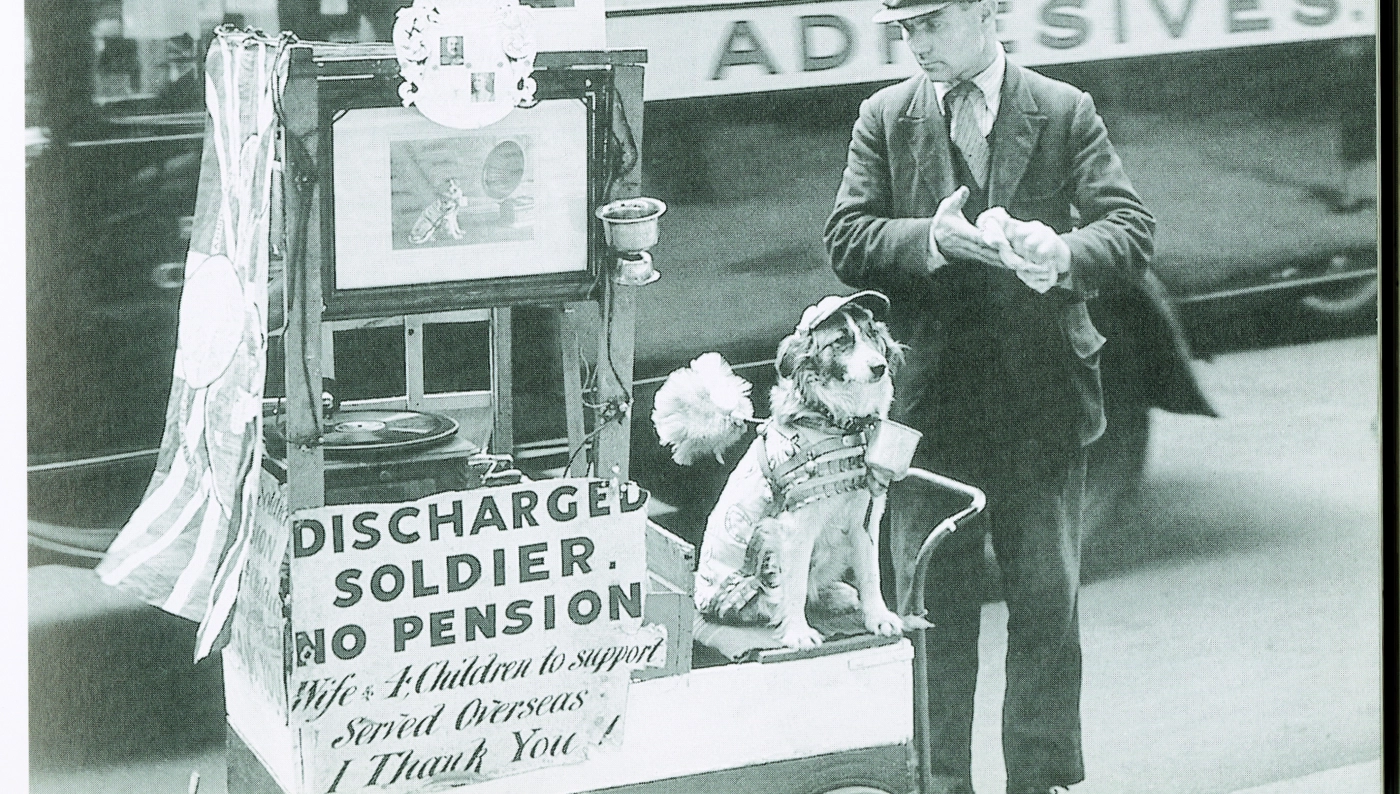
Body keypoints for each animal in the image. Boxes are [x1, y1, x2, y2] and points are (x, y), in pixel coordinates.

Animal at [649, 289, 901, 646]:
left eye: (871, 336)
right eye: (841, 340)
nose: (879, 366)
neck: (839, 424)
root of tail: (698, 597)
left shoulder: (865, 520)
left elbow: (871, 572)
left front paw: (878, 618)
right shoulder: (794, 527)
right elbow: (793, 585)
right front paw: (797, 632)